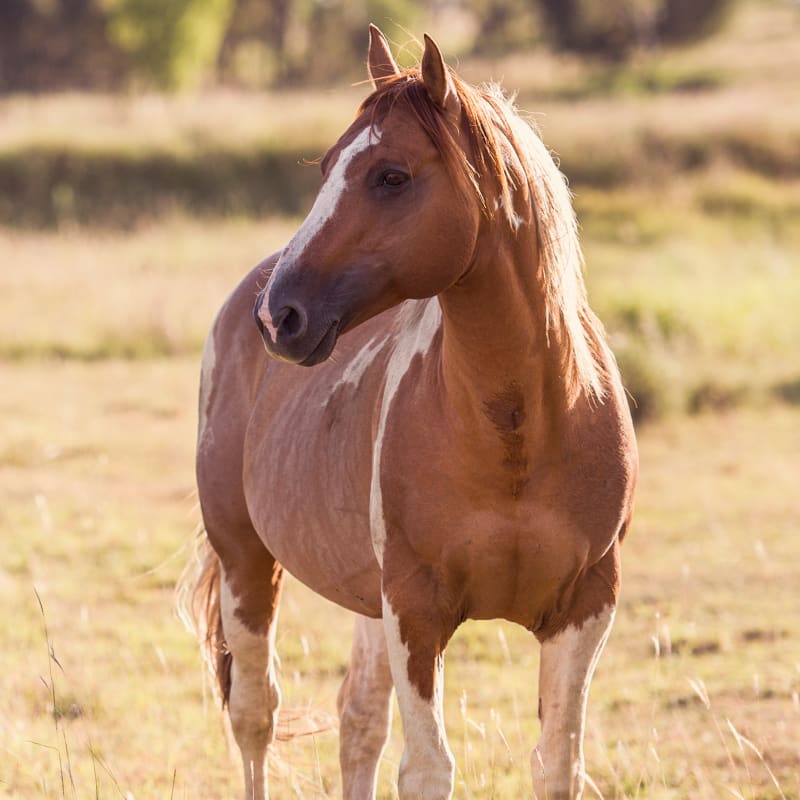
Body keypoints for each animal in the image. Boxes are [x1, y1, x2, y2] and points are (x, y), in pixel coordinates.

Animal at [183, 25, 636, 800]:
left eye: (391, 176)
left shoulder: (585, 607)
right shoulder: (416, 611)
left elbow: (557, 763)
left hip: (366, 597)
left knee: (357, 721)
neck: (516, 432)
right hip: (247, 561)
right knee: (255, 715)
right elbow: (427, 769)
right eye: (328, 165)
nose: (280, 316)